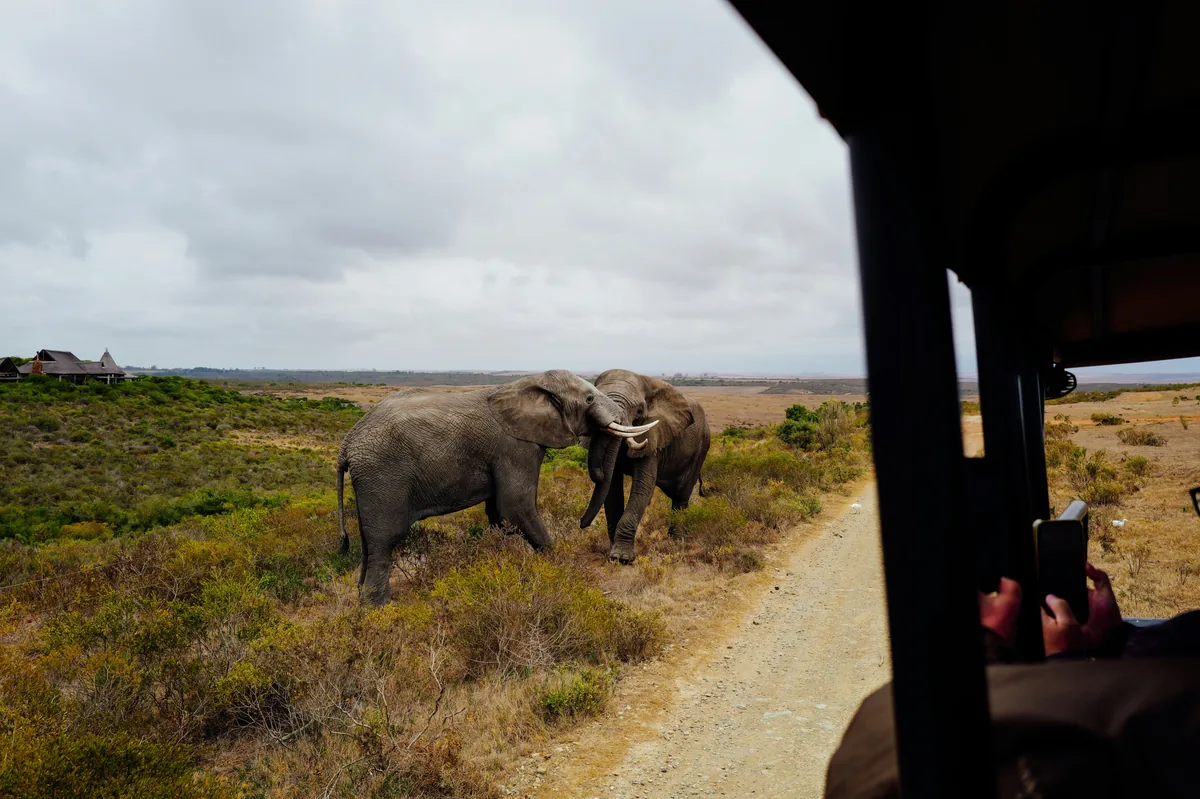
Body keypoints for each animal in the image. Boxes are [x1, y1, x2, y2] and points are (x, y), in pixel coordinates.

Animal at [336, 370, 659, 603]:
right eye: (590, 398)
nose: (582, 524)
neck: (529, 383)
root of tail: (347, 444)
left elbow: (499, 514)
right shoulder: (515, 446)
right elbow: (515, 508)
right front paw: (558, 569)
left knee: (368, 543)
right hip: (383, 476)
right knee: (384, 541)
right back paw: (379, 608)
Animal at [578, 369, 711, 563]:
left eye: (639, 410)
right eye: (591, 401)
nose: (581, 523)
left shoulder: (654, 435)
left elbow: (643, 486)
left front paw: (622, 558)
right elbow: (612, 488)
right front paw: (614, 555)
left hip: (701, 448)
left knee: (681, 494)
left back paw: (677, 541)